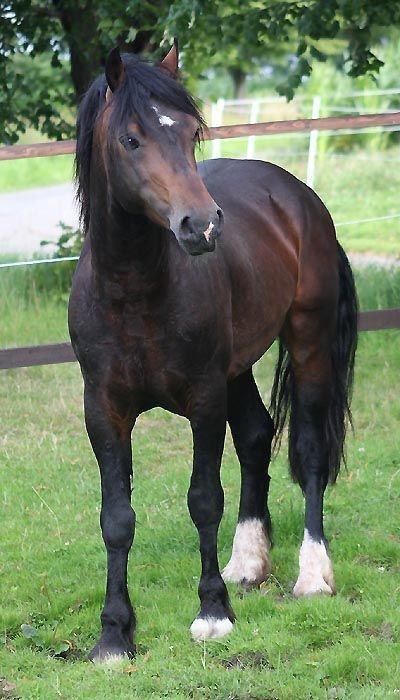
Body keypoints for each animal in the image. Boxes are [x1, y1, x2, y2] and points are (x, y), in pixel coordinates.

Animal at [67, 39, 358, 660]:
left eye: (189, 133)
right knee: (254, 437)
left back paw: (312, 575)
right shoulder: (103, 412)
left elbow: (204, 499)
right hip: (236, 369)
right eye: (131, 139)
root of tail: (296, 196)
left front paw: (212, 613)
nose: (201, 226)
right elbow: (116, 518)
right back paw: (247, 563)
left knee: (309, 451)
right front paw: (114, 634)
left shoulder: (202, 401)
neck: (132, 290)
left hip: (308, 341)